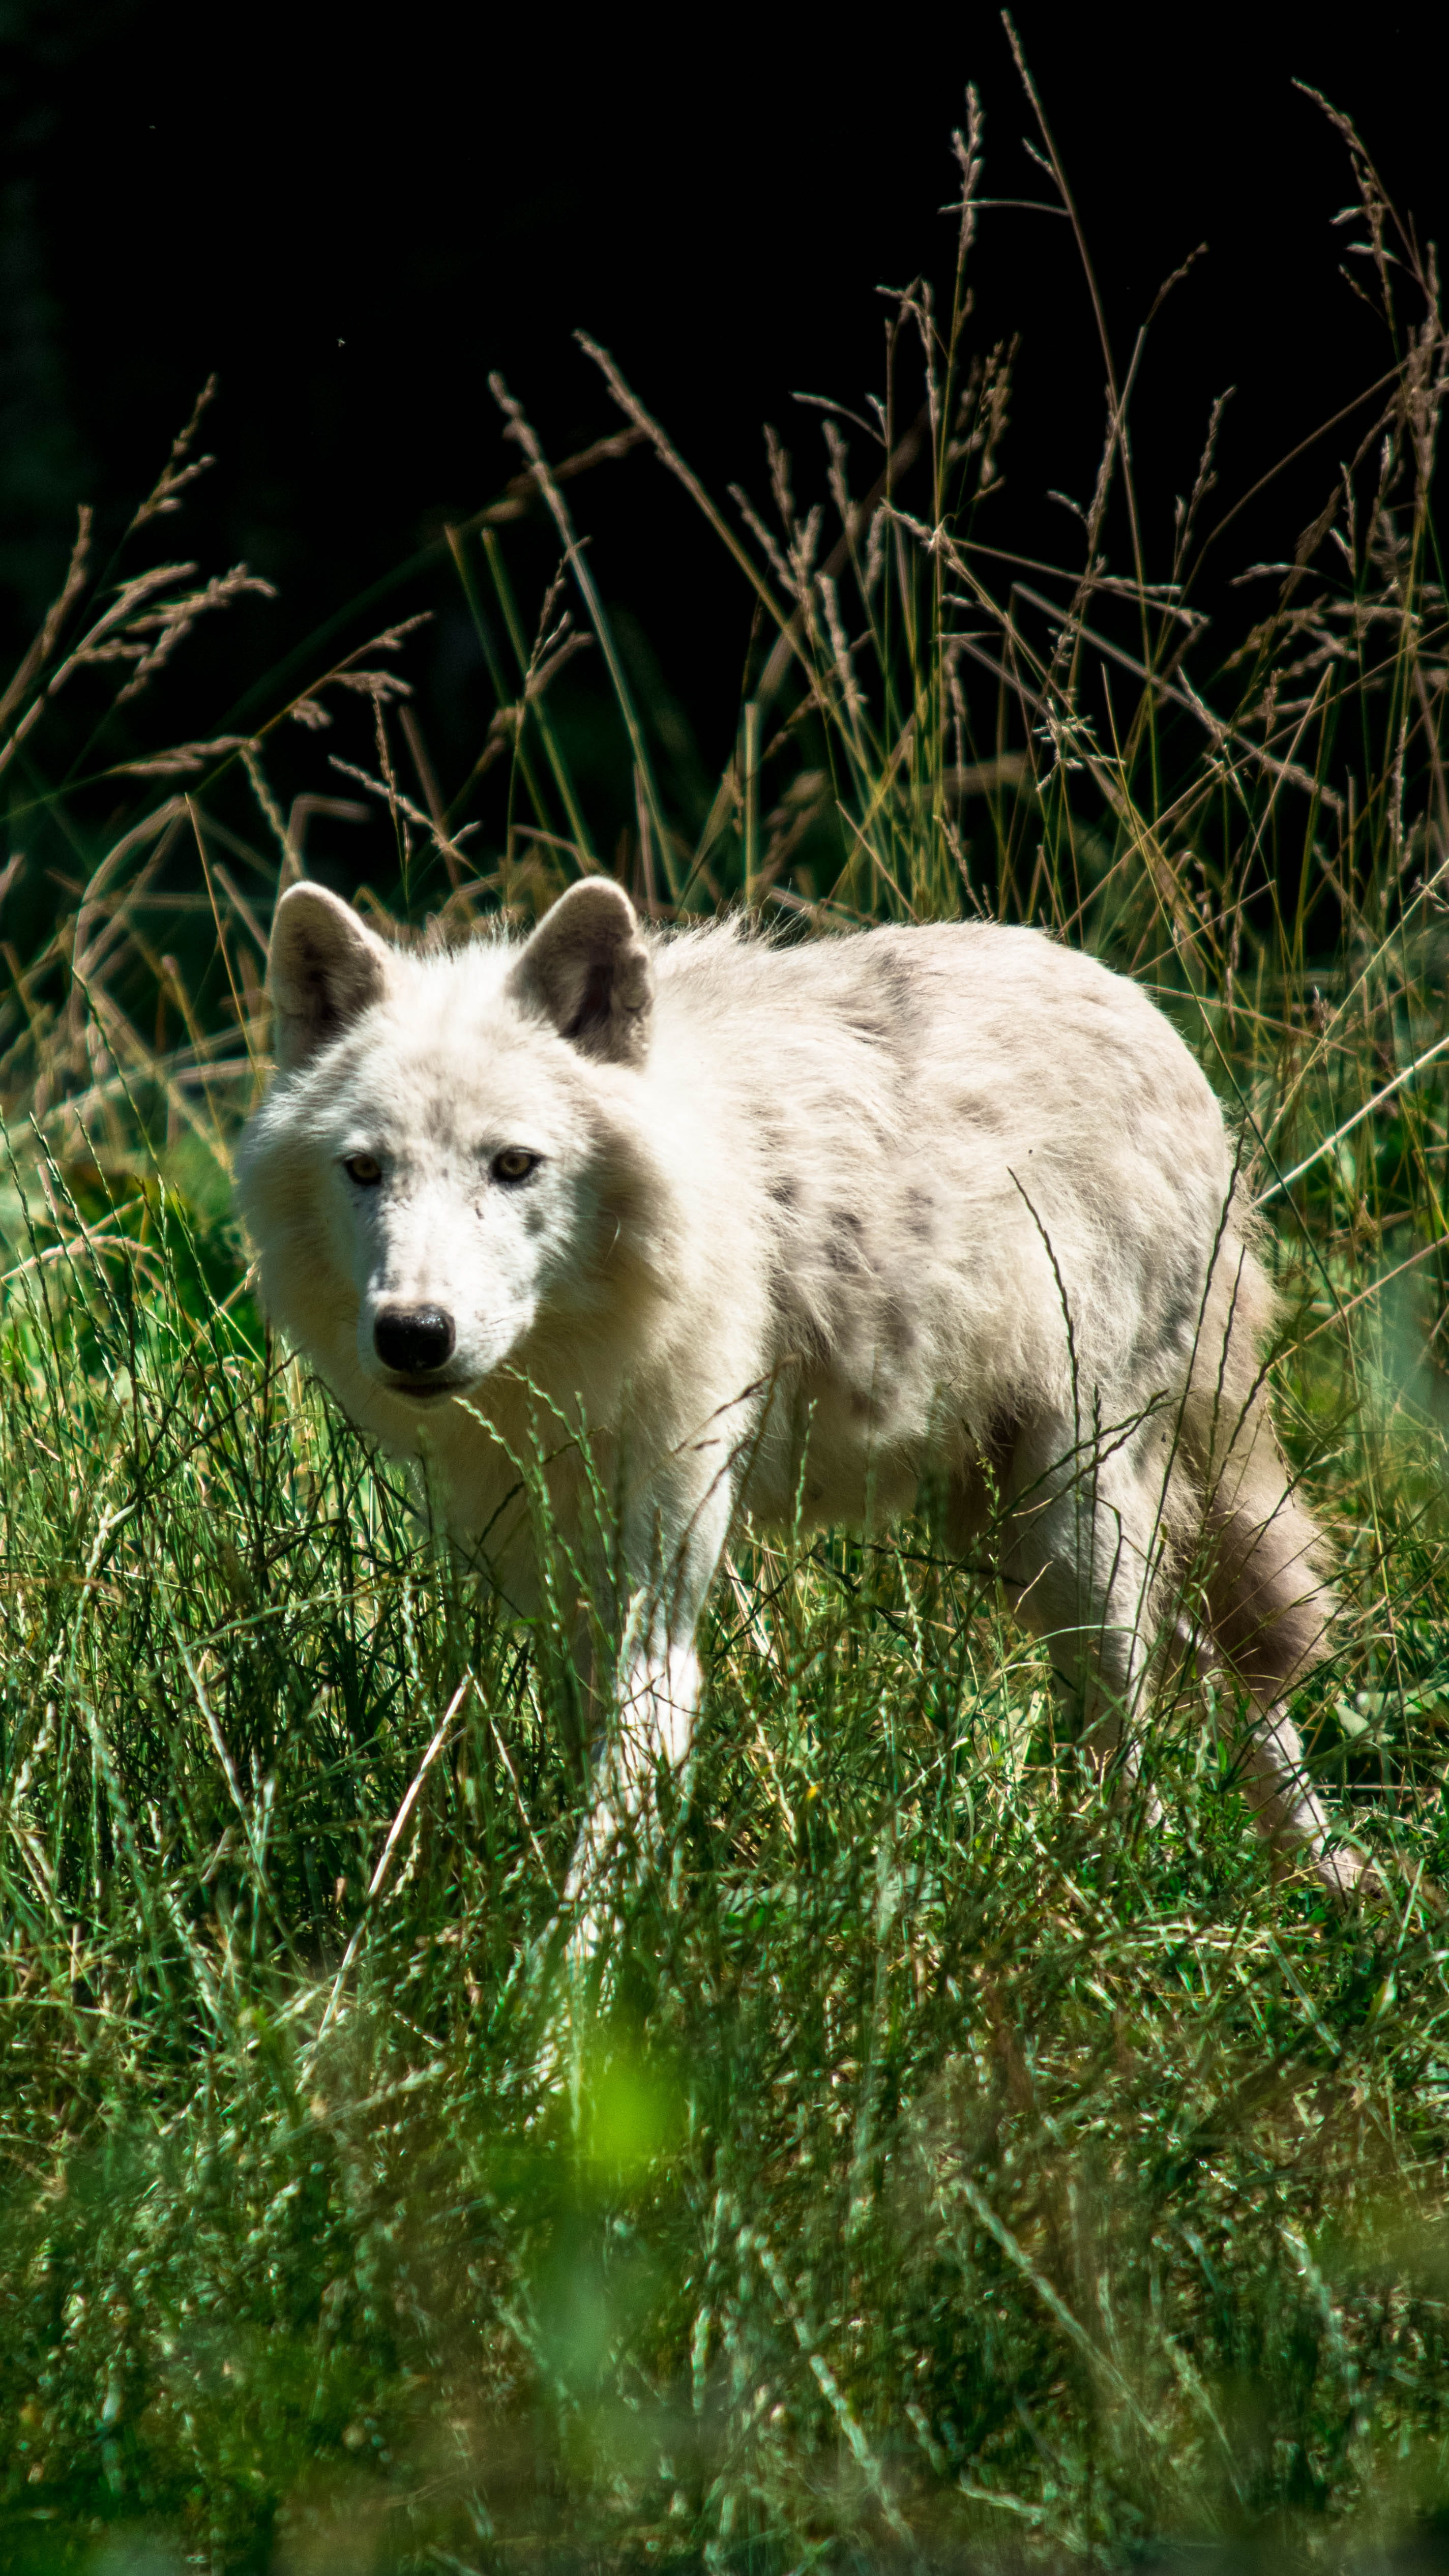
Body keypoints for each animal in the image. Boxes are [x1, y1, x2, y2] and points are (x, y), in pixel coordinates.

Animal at [236, 876, 1365, 1902]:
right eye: (364, 1170)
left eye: (513, 1165)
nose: (412, 1334)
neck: (574, 1360)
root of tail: (1138, 1004)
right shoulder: (559, 1587)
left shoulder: (659, 1594)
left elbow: (616, 1805)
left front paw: (564, 1987)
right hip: (1013, 1531)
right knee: (1208, 1661)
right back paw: (1320, 1873)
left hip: (1074, 1524)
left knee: (1140, 1714)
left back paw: (1121, 1891)